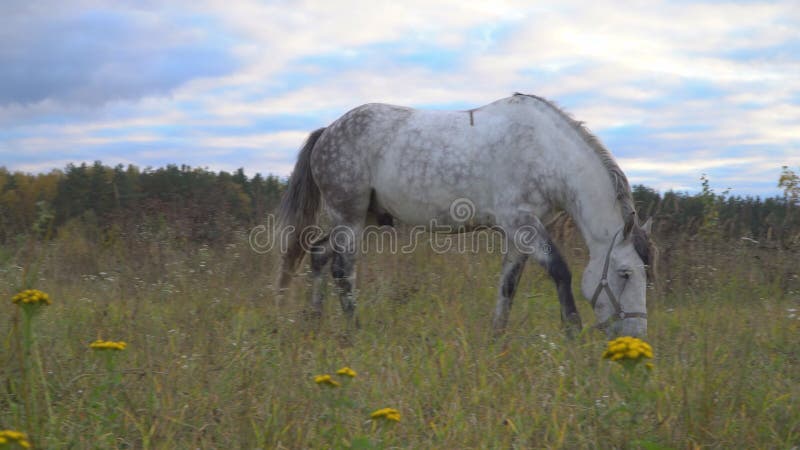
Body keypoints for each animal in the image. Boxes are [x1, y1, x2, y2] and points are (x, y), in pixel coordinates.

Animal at [278, 92, 652, 338]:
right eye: (625, 274)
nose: (637, 336)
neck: (547, 152)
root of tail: (328, 130)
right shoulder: (523, 224)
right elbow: (560, 271)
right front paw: (572, 333)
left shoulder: (519, 233)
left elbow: (508, 285)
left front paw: (496, 338)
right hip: (349, 217)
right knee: (342, 270)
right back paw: (355, 331)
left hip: (361, 219)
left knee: (319, 254)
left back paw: (313, 321)